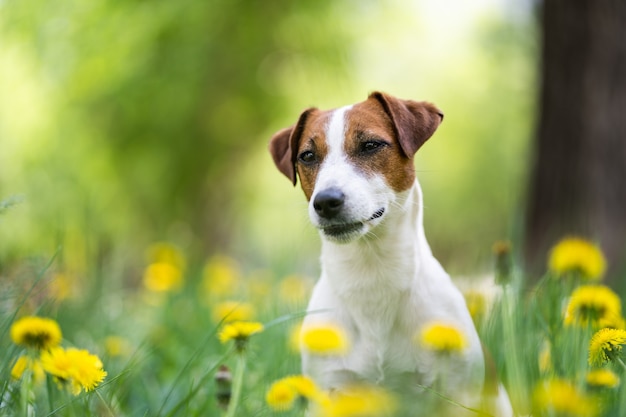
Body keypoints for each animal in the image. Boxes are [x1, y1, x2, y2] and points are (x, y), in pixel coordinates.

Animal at [268, 92, 512, 416]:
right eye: (307, 156)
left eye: (371, 145)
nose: (326, 201)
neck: (372, 273)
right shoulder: (330, 391)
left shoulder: (458, 393)